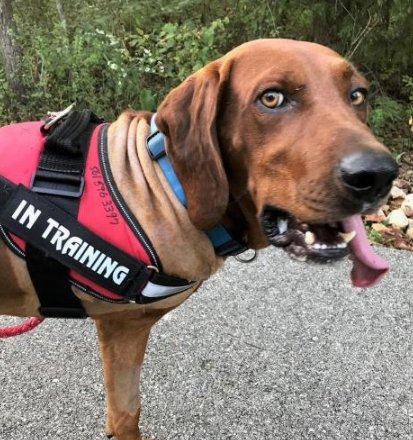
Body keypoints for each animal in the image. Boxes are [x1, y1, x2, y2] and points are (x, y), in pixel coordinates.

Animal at [0, 39, 400, 438]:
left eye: (357, 95)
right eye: (271, 98)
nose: (379, 175)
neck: (166, 183)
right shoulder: (122, 327)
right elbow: (126, 414)